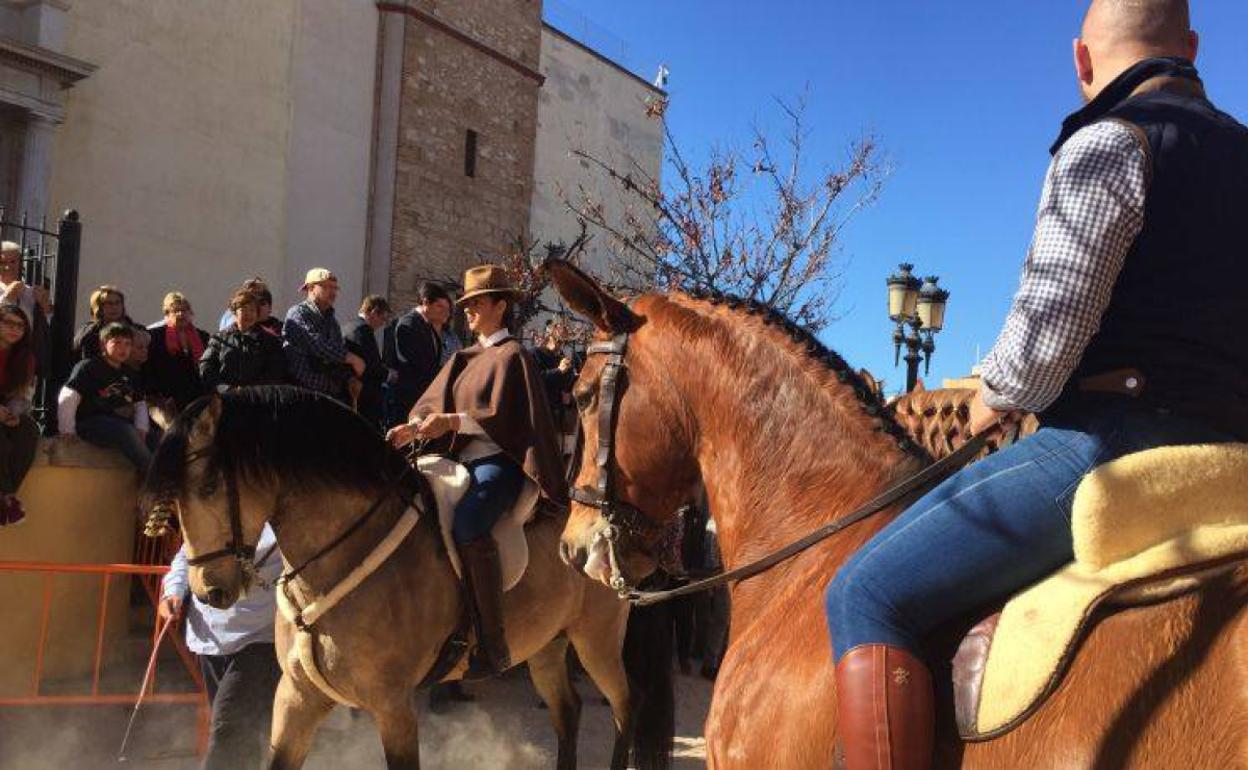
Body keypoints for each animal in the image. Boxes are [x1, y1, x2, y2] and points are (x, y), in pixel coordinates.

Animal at [137, 386, 673, 768]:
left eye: (209, 485)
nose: (211, 591)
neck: (343, 553)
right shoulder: (296, 699)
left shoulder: (392, 707)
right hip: (546, 646)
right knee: (569, 712)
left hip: (596, 640)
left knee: (628, 705)